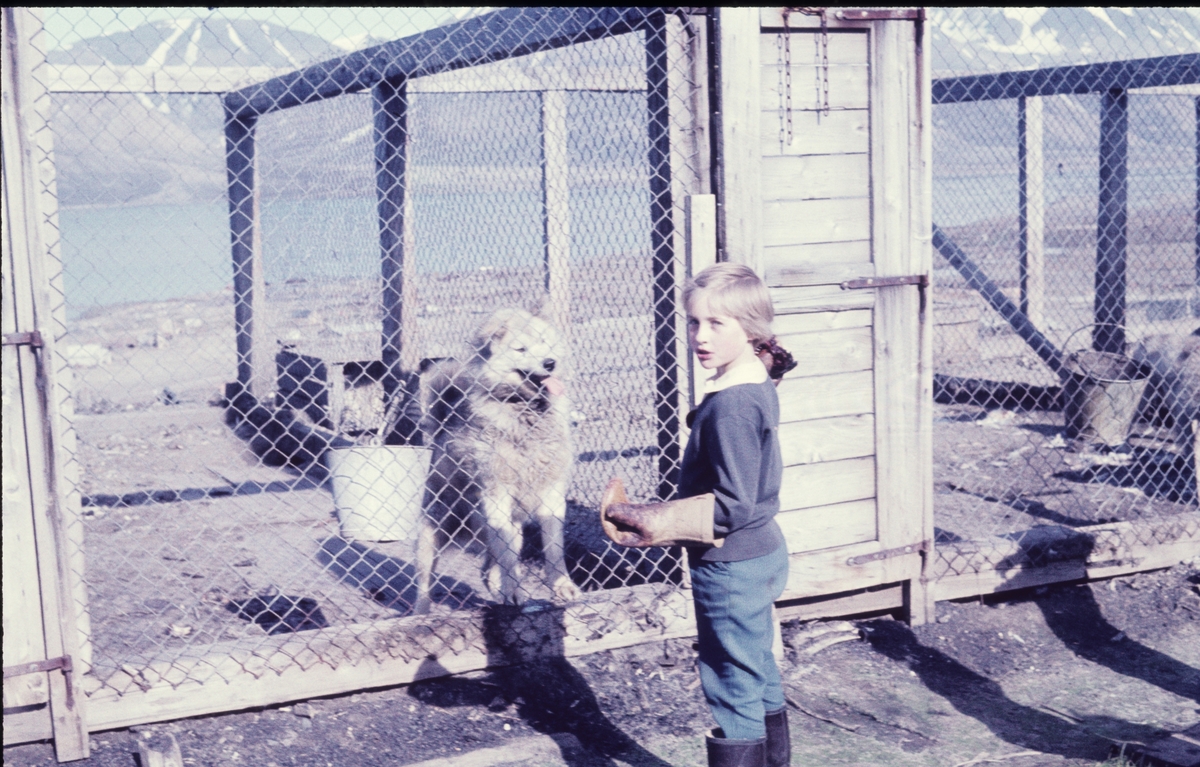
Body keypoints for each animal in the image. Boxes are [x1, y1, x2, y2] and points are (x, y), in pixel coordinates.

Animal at [412, 309, 580, 614]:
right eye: (521, 349)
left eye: (544, 342)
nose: (550, 363)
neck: (524, 411)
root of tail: (444, 427)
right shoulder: (497, 495)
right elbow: (509, 561)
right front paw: (514, 591)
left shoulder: (552, 495)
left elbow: (553, 550)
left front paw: (562, 587)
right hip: (434, 530)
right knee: (424, 584)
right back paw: (421, 613)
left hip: (510, 529)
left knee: (488, 569)